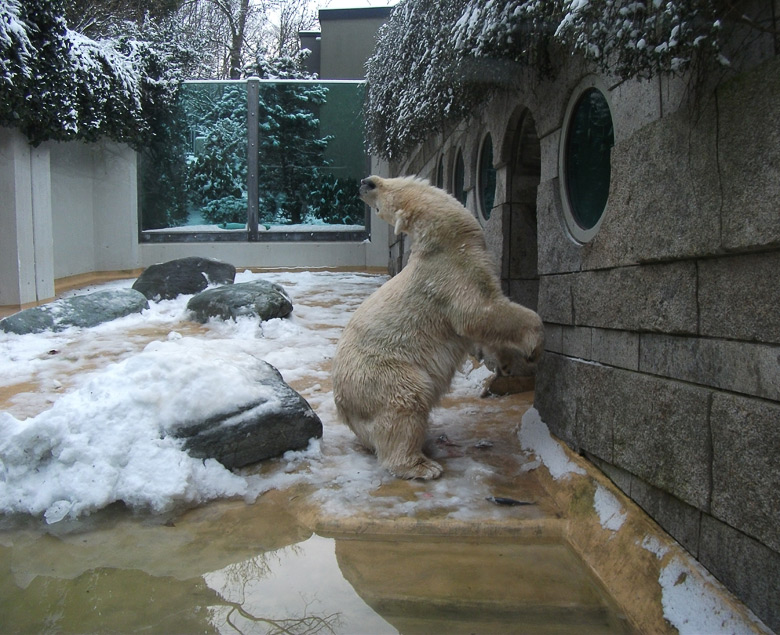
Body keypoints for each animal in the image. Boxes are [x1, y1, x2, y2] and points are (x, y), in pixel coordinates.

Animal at [332, 176, 544, 480]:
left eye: (378, 200)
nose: (365, 182)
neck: (446, 236)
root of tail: (342, 406)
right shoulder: (450, 274)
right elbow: (480, 312)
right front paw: (534, 347)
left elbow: (482, 329)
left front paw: (505, 364)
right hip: (379, 374)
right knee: (405, 399)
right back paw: (421, 465)